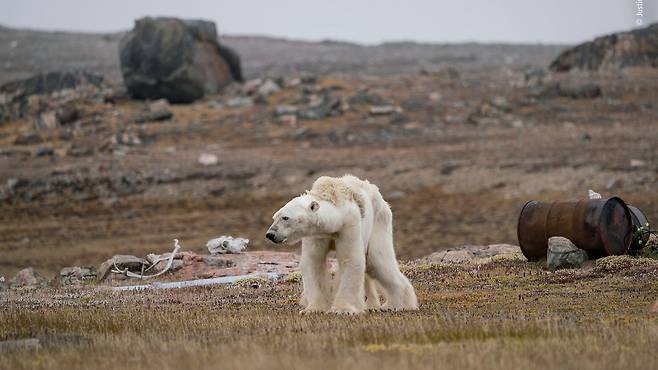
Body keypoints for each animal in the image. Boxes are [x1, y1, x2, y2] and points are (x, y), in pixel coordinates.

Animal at [266, 175, 416, 314]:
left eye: (285, 217)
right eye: (274, 217)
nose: (270, 234)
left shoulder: (349, 225)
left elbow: (350, 259)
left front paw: (342, 310)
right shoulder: (316, 234)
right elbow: (313, 261)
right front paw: (313, 309)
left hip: (379, 222)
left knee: (378, 261)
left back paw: (397, 304)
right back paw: (372, 305)